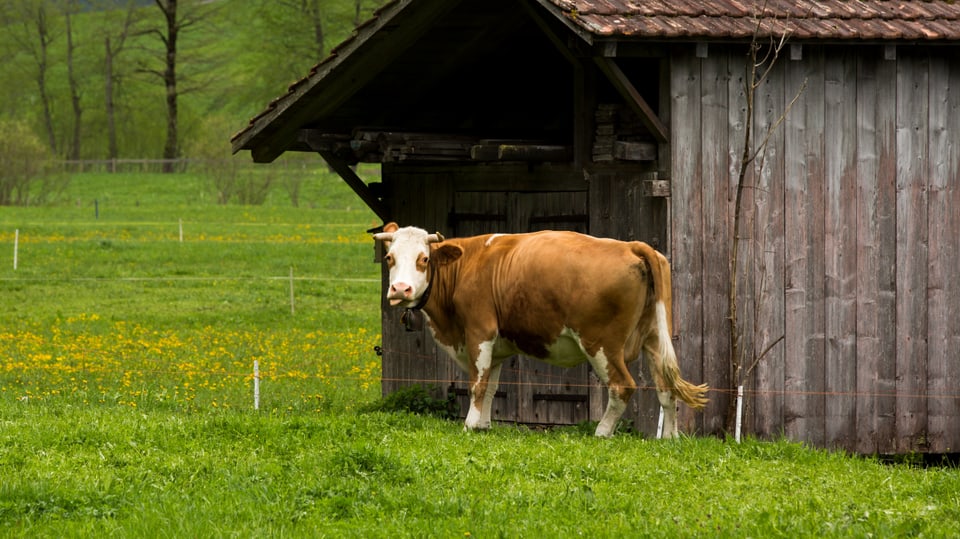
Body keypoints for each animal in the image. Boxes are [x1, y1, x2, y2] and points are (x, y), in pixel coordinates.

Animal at [374, 224, 704, 438]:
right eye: (390, 258)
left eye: (424, 259)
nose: (400, 289)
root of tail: (630, 245)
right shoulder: (497, 347)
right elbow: (491, 386)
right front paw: (484, 426)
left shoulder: (480, 332)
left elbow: (477, 384)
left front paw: (469, 425)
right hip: (654, 339)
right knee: (666, 388)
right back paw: (669, 439)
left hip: (601, 343)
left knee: (622, 386)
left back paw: (601, 432)